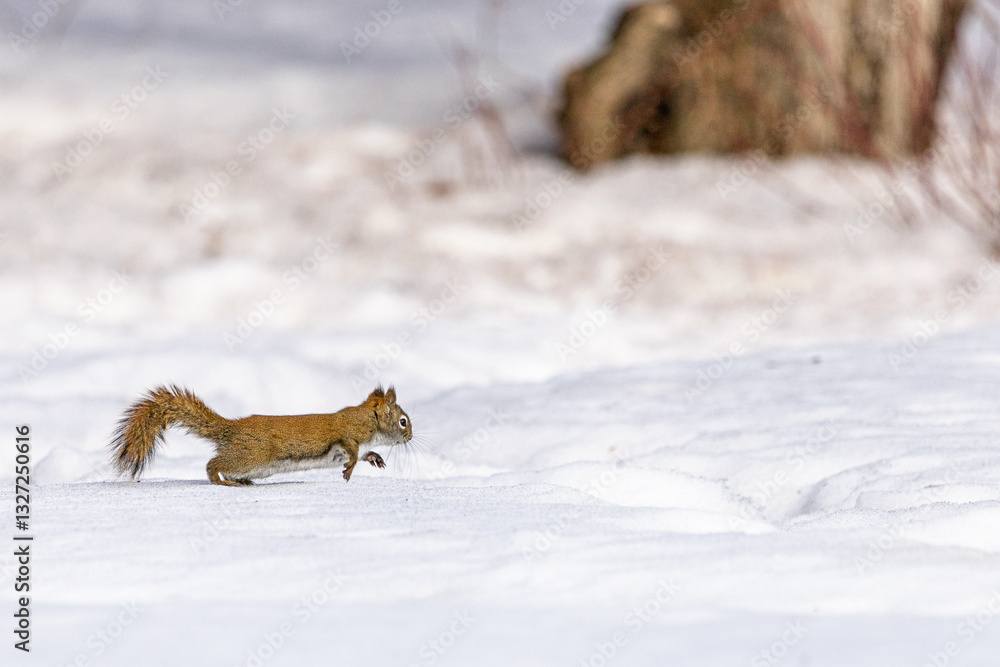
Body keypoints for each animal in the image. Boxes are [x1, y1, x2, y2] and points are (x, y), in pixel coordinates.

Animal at [109, 385, 412, 486]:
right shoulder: (349, 433)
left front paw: (374, 458)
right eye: (403, 422)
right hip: (251, 456)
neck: (367, 419)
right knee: (213, 464)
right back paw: (221, 482)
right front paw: (350, 470)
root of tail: (230, 430)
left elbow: (362, 453)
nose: (409, 437)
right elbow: (351, 451)